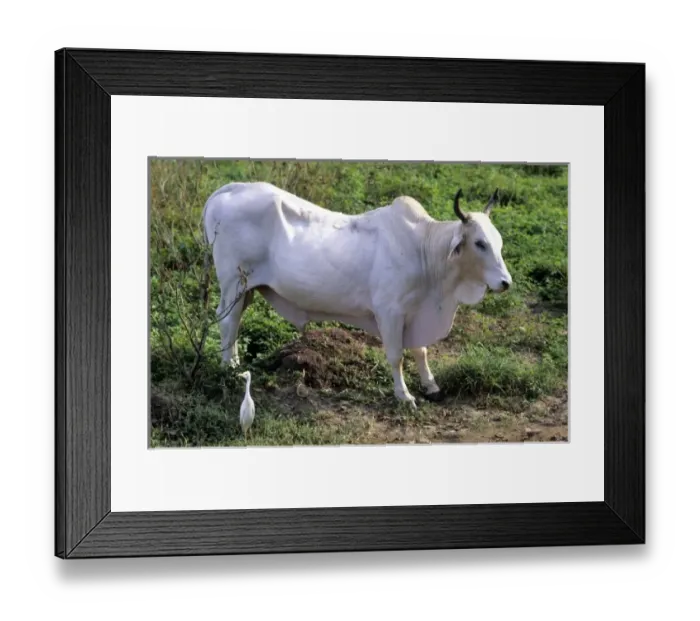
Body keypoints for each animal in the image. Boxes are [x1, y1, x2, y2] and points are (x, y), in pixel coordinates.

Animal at [202, 181, 512, 408]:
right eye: (479, 243)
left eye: (499, 241)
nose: (506, 282)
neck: (424, 252)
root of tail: (230, 189)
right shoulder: (390, 312)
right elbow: (396, 356)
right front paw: (404, 395)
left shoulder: (415, 312)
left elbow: (420, 350)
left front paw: (431, 386)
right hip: (233, 282)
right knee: (226, 321)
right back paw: (228, 369)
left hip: (247, 290)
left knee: (234, 322)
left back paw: (235, 363)